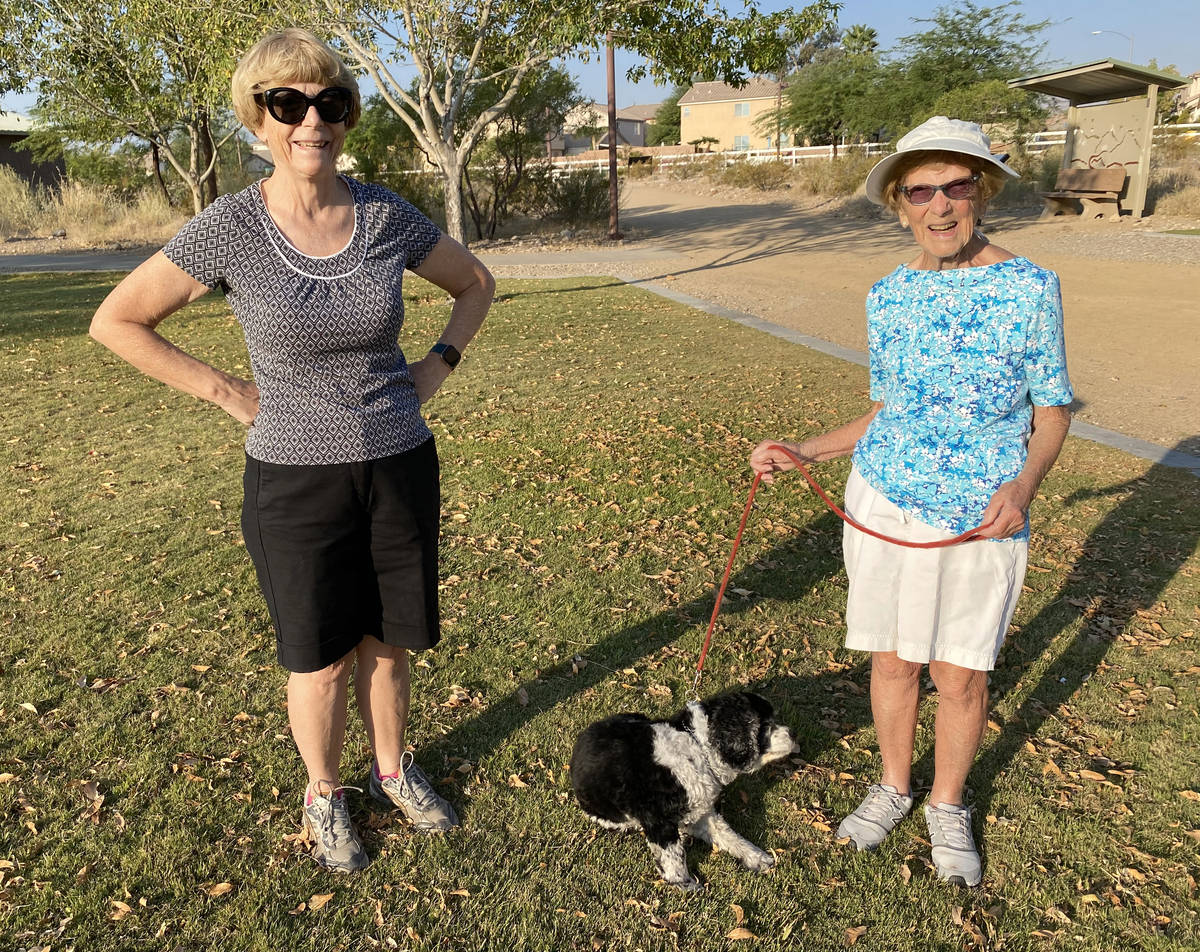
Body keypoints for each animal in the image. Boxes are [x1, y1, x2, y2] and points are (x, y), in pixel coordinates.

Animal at [571, 691, 796, 893]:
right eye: (766, 725)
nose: (792, 733)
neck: (697, 747)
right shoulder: (658, 820)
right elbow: (673, 858)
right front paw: (688, 886)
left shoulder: (702, 809)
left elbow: (727, 834)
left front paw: (756, 857)